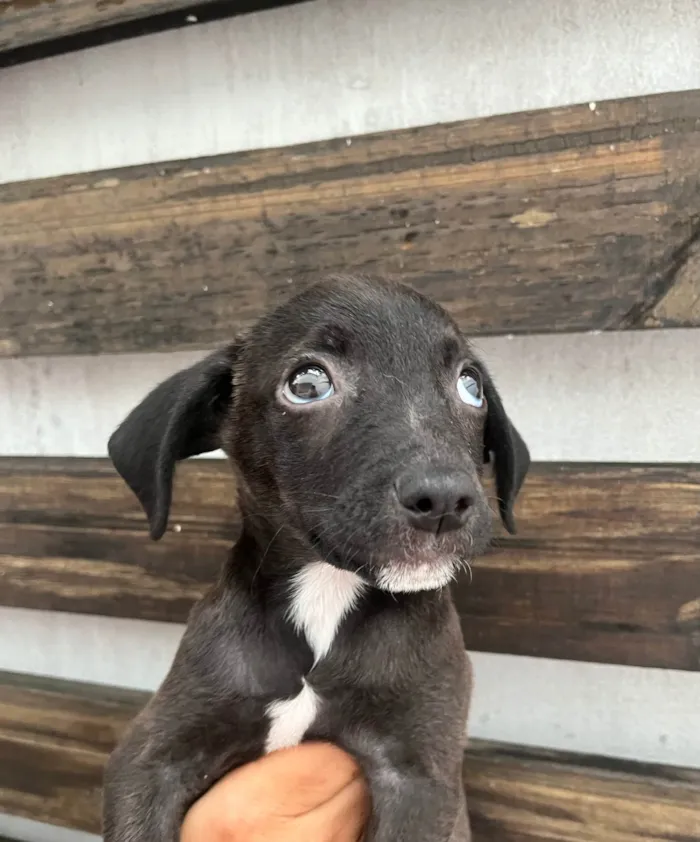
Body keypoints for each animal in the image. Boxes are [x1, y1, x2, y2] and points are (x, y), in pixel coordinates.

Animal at [105, 272, 532, 836]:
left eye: (471, 385)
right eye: (307, 384)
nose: (443, 499)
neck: (326, 594)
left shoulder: (420, 775)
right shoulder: (151, 756)